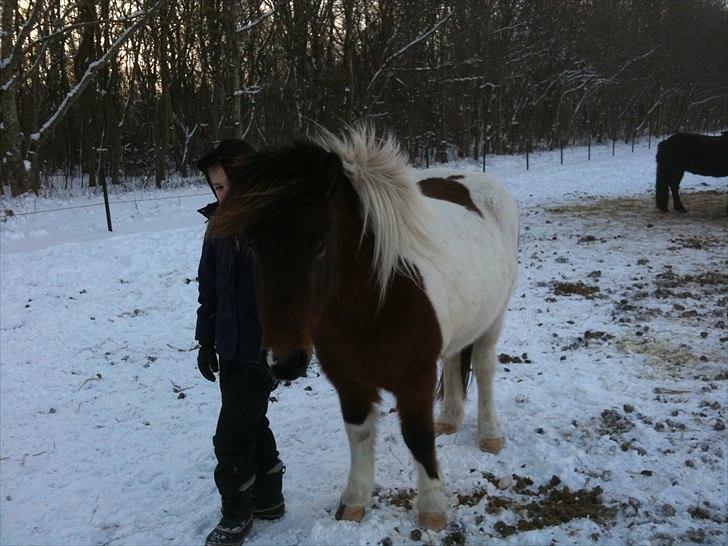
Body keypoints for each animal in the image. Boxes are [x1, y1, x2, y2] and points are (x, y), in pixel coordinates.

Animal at [208, 124, 520, 528]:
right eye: (252, 245)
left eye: (320, 244)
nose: (284, 361)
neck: (374, 303)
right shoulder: (349, 381)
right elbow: (358, 434)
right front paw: (355, 500)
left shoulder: (414, 380)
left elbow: (417, 436)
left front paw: (432, 508)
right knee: (454, 361)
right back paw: (450, 419)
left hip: (494, 319)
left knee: (483, 368)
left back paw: (489, 434)